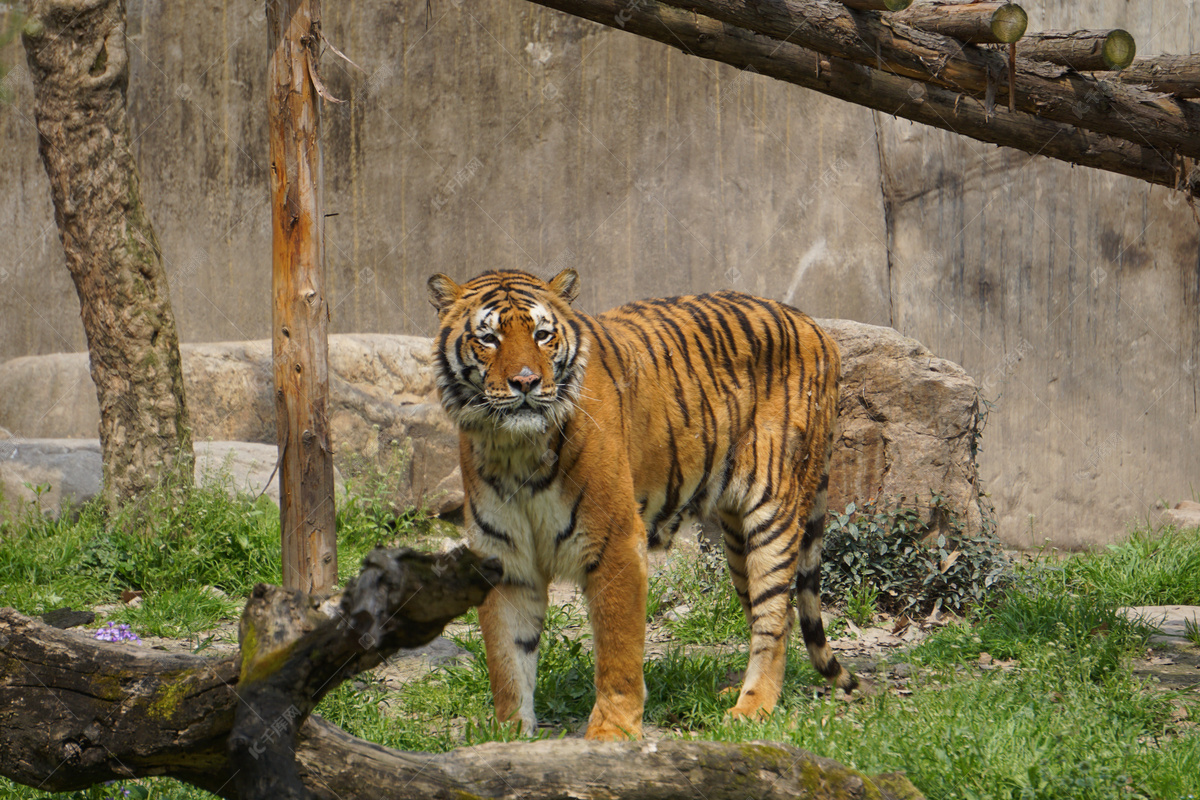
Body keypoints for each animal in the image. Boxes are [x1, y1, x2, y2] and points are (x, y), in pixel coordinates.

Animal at [427, 271, 859, 743]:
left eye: (542, 335)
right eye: (488, 338)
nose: (526, 382)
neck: (516, 449)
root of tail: (817, 327)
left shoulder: (616, 540)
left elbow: (619, 648)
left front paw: (613, 731)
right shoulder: (504, 556)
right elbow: (507, 659)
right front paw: (508, 736)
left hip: (773, 508)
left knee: (774, 619)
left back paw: (752, 707)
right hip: (735, 537)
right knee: (777, 612)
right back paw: (737, 693)